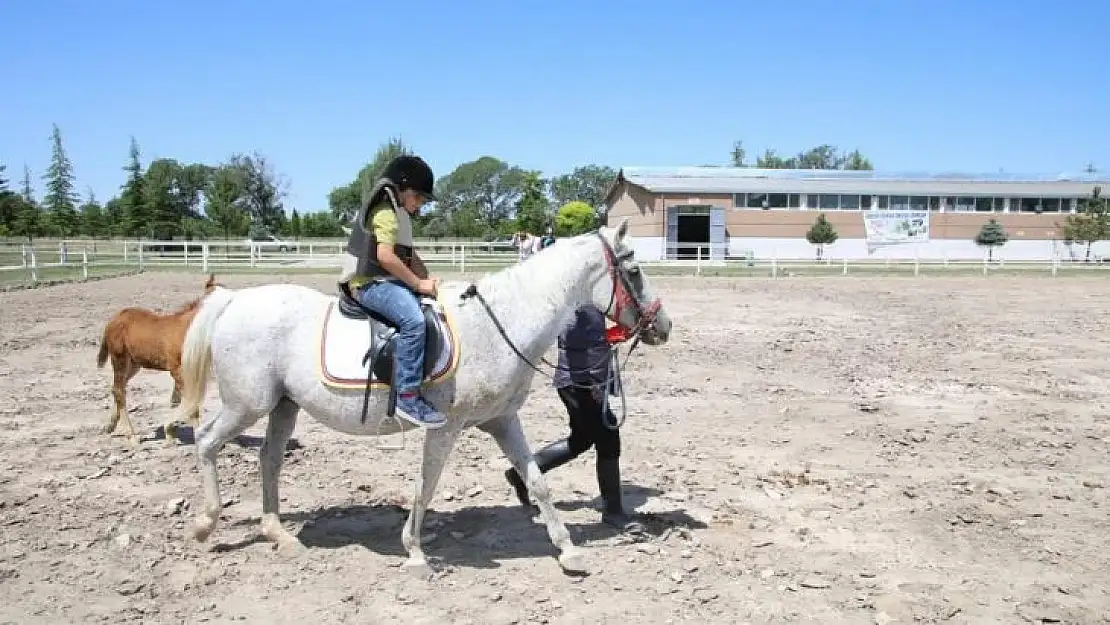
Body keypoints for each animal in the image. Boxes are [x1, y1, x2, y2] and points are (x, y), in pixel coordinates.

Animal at [175, 219, 666, 577]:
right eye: (634, 271)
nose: (664, 326)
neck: (499, 323)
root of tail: (234, 301)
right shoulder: (445, 428)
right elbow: (426, 485)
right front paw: (414, 552)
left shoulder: (503, 421)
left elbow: (537, 481)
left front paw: (568, 551)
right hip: (246, 405)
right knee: (206, 441)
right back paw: (204, 525)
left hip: (283, 406)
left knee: (270, 460)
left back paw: (279, 535)